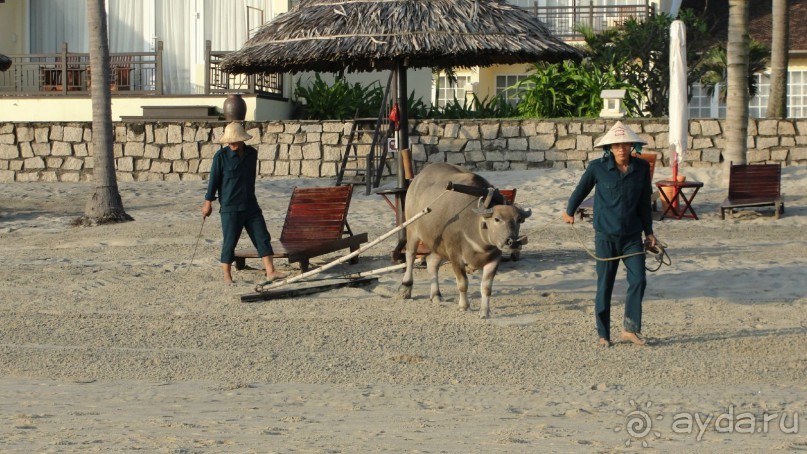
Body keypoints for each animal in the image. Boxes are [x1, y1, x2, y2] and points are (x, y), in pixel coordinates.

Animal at [398, 164, 532, 320]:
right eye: (497, 219)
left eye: (519, 220)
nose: (513, 242)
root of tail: (417, 179)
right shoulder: (455, 256)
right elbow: (462, 283)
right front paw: (464, 306)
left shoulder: (494, 259)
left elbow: (486, 288)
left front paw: (484, 312)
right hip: (412, 230)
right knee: (410, 255)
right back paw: (406, 287)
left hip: (438, 245)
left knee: (431, 263)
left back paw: (436, 295)